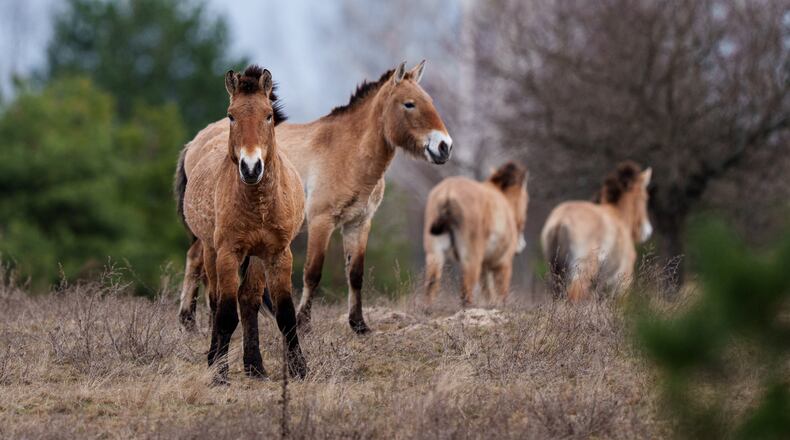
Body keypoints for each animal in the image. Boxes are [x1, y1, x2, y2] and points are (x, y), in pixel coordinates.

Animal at [176, 65, 306, 384]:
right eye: (232, 115)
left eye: (268, 115)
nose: (251, 167)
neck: (258, 204)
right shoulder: (228, 253)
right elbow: (225, 313)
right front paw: (220, 374)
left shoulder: (278, 254)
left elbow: (285, 314)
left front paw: (299, 369)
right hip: (211, 251)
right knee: (215, 300)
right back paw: (215, 358)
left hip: (255, 258)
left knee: (248, 300)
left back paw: (255, 366)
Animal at [178, 60, 453, 334]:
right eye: (409, 104)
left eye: (428, 100)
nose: (444, 146)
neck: (347, 152)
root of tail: (196, 141)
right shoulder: (322, 221)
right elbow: (313, 273)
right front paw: (303, 323)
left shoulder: (359, 223)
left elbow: (355, 274)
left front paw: (359, 324)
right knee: (198, 261)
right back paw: (193, 322)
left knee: (196, 259)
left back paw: (193, 322)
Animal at [423, 162, 529, 307]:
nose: (522, 245)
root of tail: (448, 192)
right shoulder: (503, 262)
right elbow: (501, 294)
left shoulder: (485, 266)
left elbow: (488, 292)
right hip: (471, 259)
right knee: (466, 292)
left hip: (434, 254)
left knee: (431, 284)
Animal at [540, 161, 653, 300]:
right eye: (645, 197)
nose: (646, 231)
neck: (618, 215)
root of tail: (560, 221)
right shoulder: (622, 280)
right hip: (582, 271)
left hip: (556, 272)